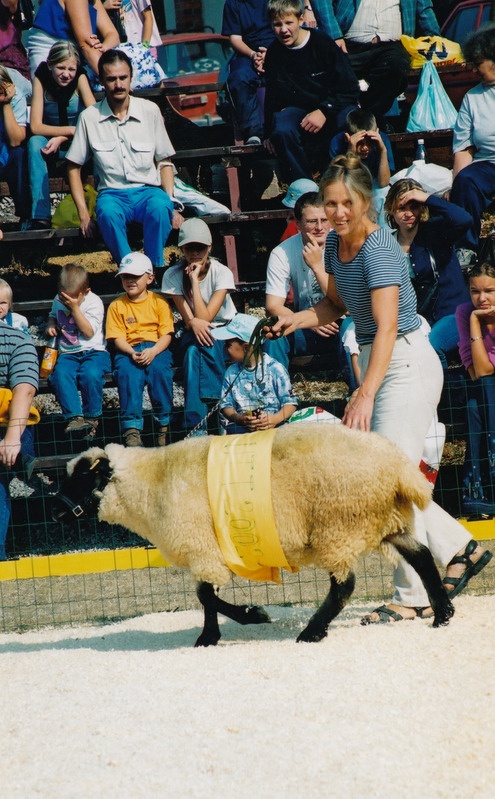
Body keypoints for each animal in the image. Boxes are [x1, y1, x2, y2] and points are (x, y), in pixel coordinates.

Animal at [52, 424, 456, 644]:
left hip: (339, 525)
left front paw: (246, 618)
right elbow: (207, 596)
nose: (55, 511)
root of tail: (399, 468)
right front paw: (215, 634)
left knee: (345, 586)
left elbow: (205, 596)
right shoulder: (207, 552)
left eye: (82, 477)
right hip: (382, 521)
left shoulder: (203, 549)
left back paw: (312, 631)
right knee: (421, 556)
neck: (151, 485)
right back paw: (442, 613)